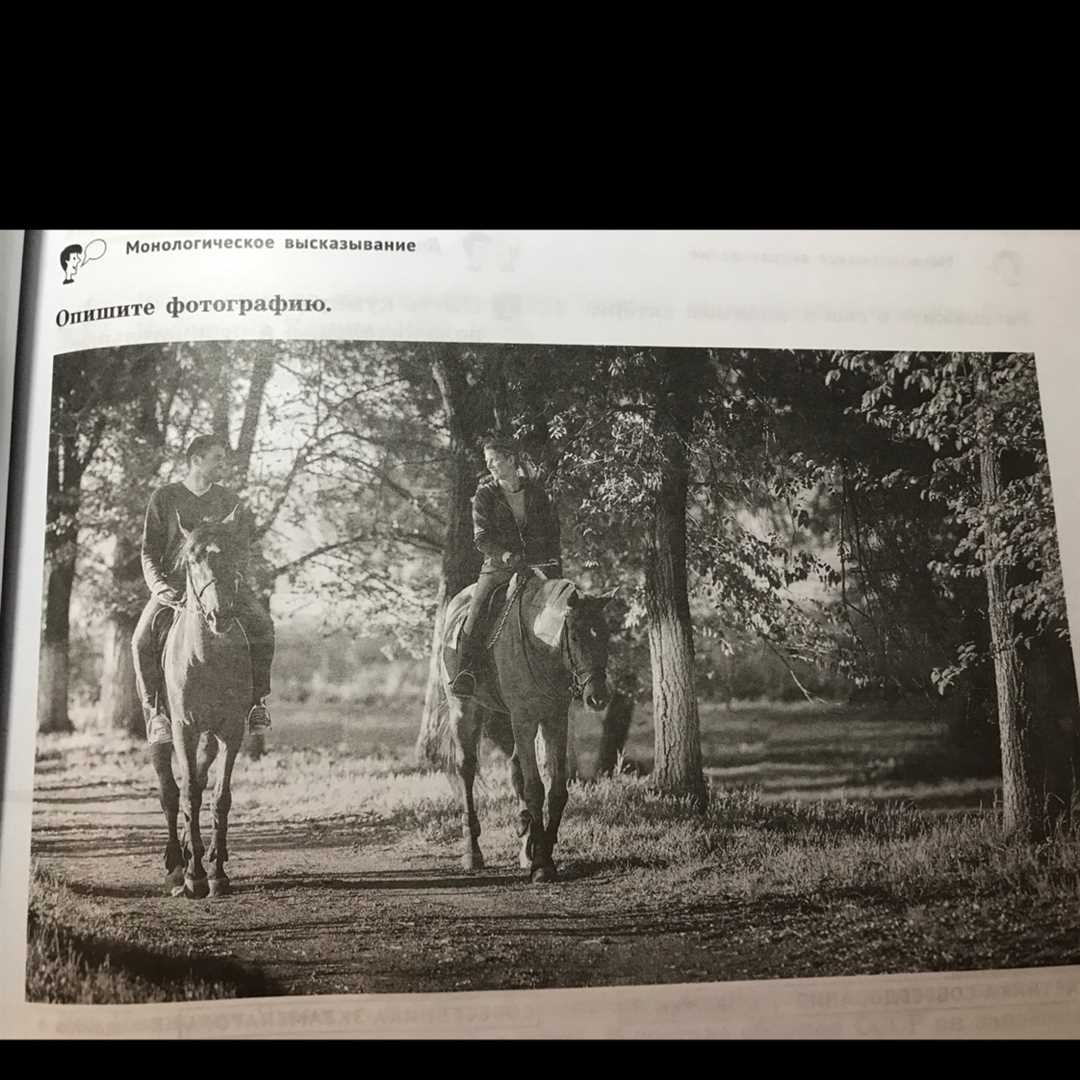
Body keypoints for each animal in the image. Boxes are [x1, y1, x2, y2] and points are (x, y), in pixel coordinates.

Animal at [147, 509, 252, 898]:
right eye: (192, 559)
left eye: (233, 552)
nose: (220, 615)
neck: (207, 658)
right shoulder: (183, 729)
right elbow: (188, 793)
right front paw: (194, 877)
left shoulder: (232, 731)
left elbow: (220, 796)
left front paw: (218, 873)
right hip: (161, 731)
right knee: (170, 792)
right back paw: (176, 865)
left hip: (210, 737)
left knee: (203, 778)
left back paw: (199, 852)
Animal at [440, 570, 617, 881]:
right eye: (575, 635)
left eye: (605, 635)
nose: (598, 697)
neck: (541, 645)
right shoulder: (524, 719)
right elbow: (535, 788)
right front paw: (542, 865)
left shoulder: (554, 720)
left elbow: (556, 789)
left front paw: (542, 851)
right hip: (464, 709)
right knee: (466, 769)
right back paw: (473, 852)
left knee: (515, 770)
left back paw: (525, 844)